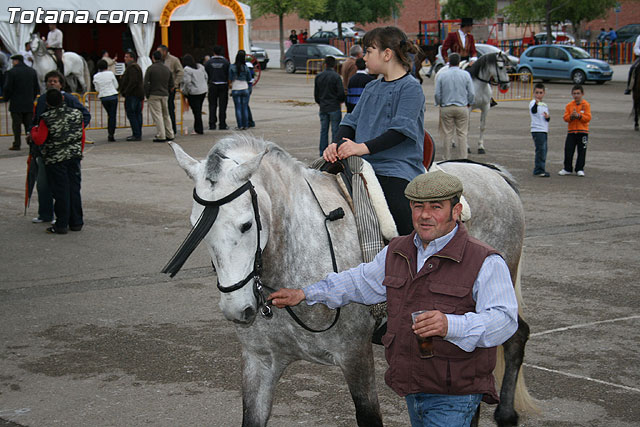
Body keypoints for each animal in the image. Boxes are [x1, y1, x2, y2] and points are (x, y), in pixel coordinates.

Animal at [166, 135, 536, 426]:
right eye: (196, 226)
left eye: (245, 224)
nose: (236, 309)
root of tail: (494, 173)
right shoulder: (259, 362)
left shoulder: (355, 356)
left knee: (512, 338)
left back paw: (506, 414)